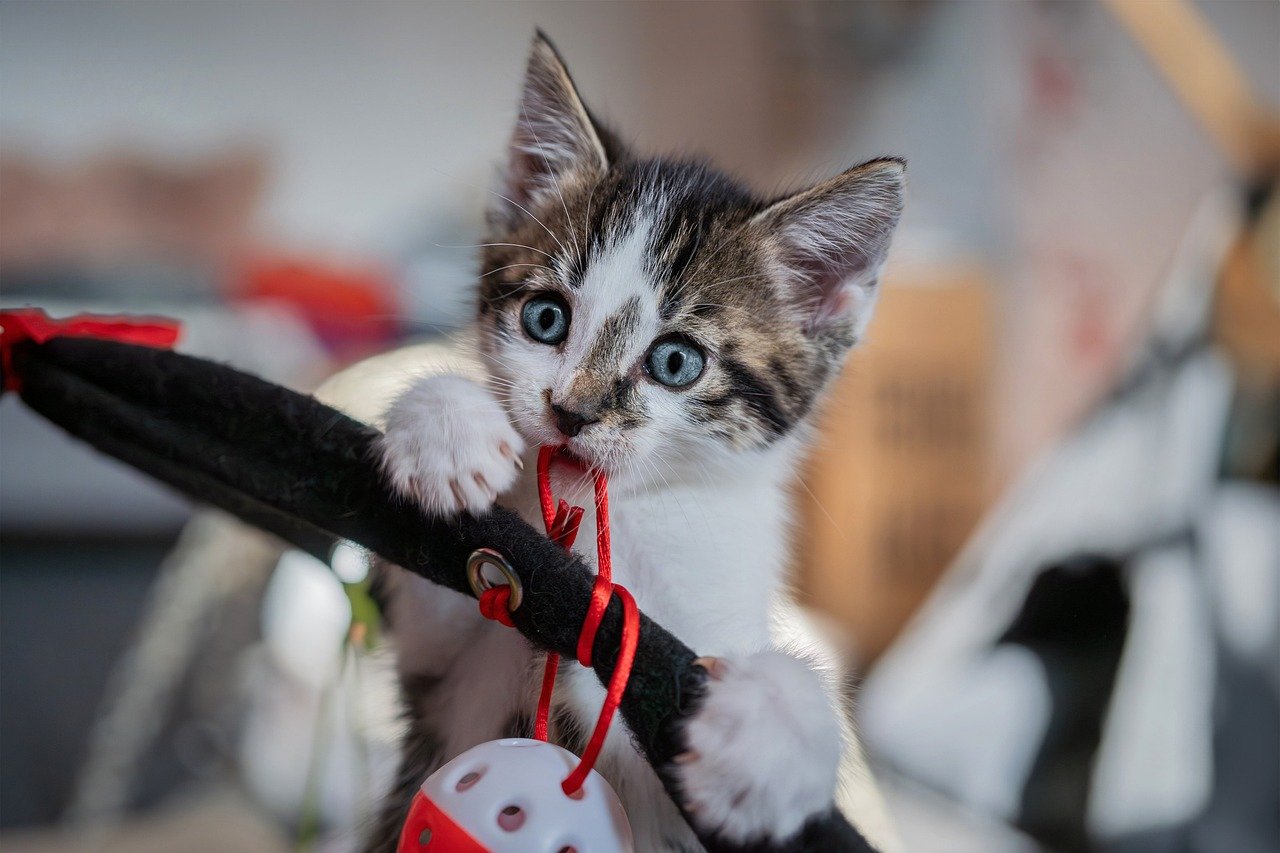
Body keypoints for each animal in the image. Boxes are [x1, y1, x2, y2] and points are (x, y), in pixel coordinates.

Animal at [366, 33, 906, 850]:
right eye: (546, 319)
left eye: (676, 362)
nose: (570, 411)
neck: (620, 513)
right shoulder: (442, 681)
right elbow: (457, 596)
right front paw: (446, 428)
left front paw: (768, 740)